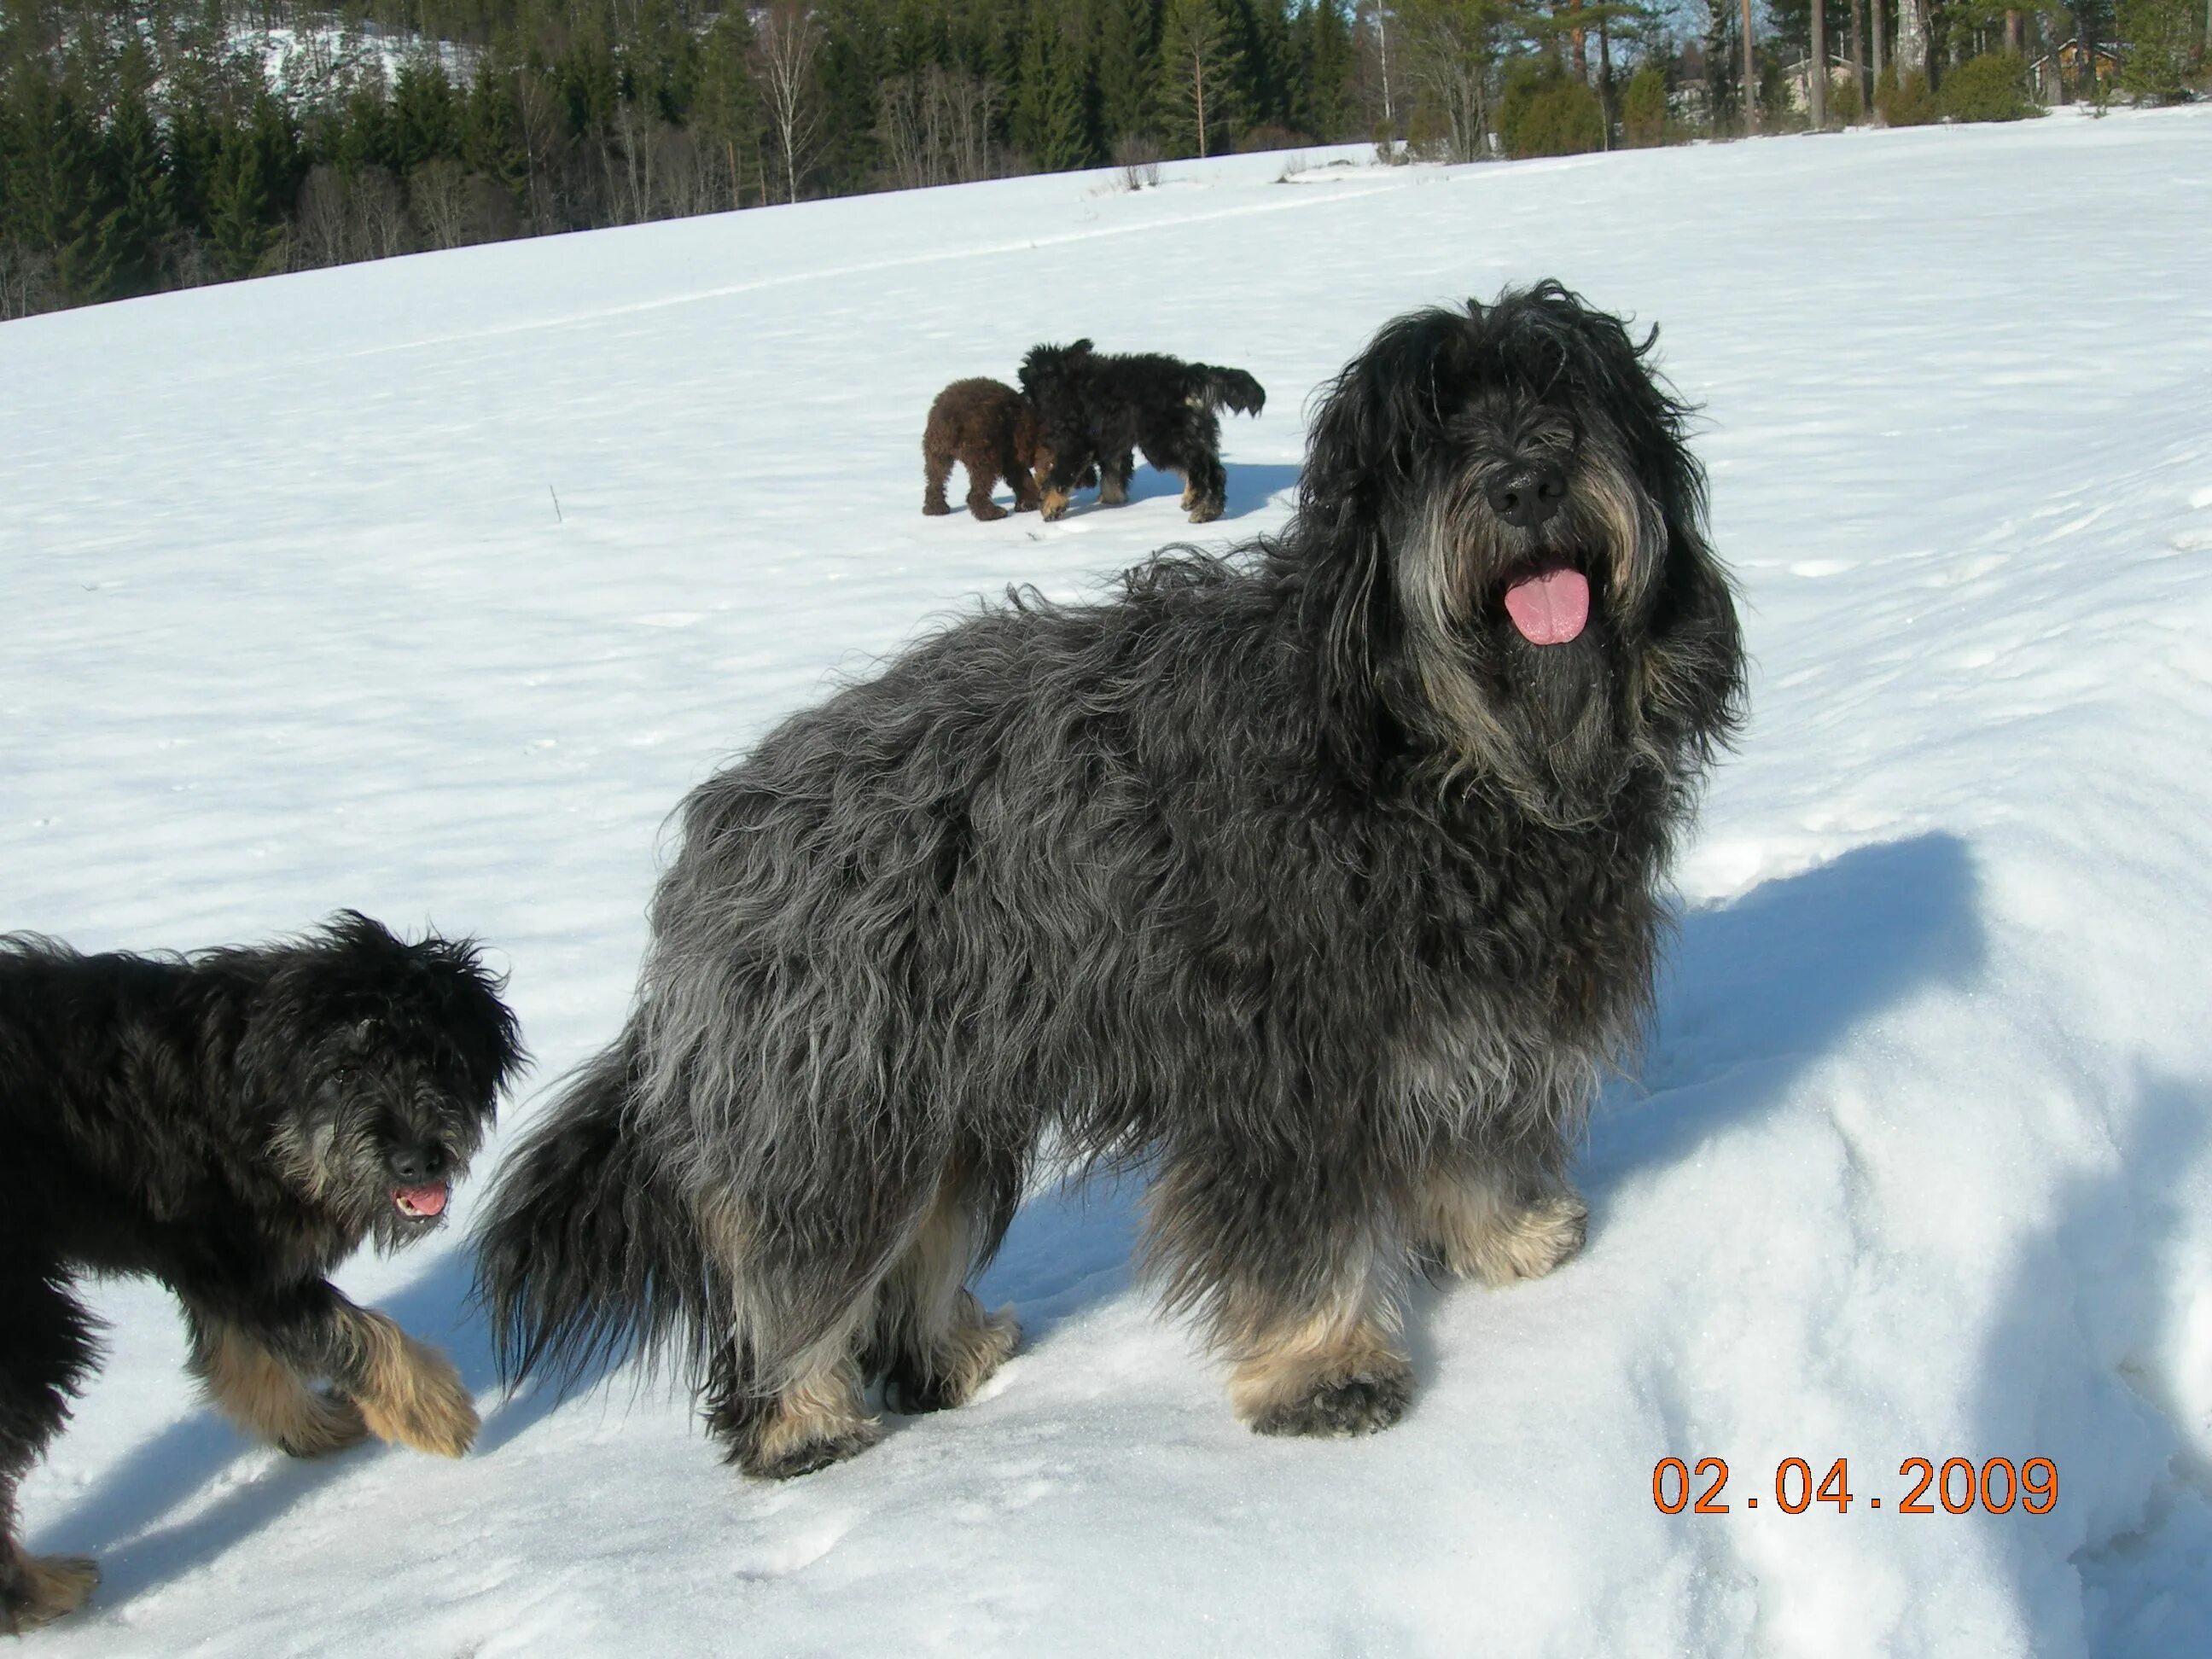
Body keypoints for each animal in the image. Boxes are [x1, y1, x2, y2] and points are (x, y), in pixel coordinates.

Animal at [0, 916, 521, 1627]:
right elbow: (351, 1329)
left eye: (438, 1057)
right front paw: (435, 1412)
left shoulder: (219, 1265)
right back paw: (42, 1589)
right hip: (30, 1325)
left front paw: (317, 1426)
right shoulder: (240, 1266)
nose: (419, 1159)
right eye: (344, 1072)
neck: (246, 1099)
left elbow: (245, 1362)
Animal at [1017, 335, 1265, 520]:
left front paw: (1051, 506)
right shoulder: (1113, 443)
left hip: (1162, 439)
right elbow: (1114, 475)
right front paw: (1111, 501)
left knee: (1207, 469)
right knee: (1204, 467)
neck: (1069, 383)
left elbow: (1059, 477)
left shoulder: (1076, 444)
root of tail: (1189, 377)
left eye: (1028, 383)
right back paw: (1197, 501)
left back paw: (1205, 509)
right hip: (1192, 432)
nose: (1024, 398)